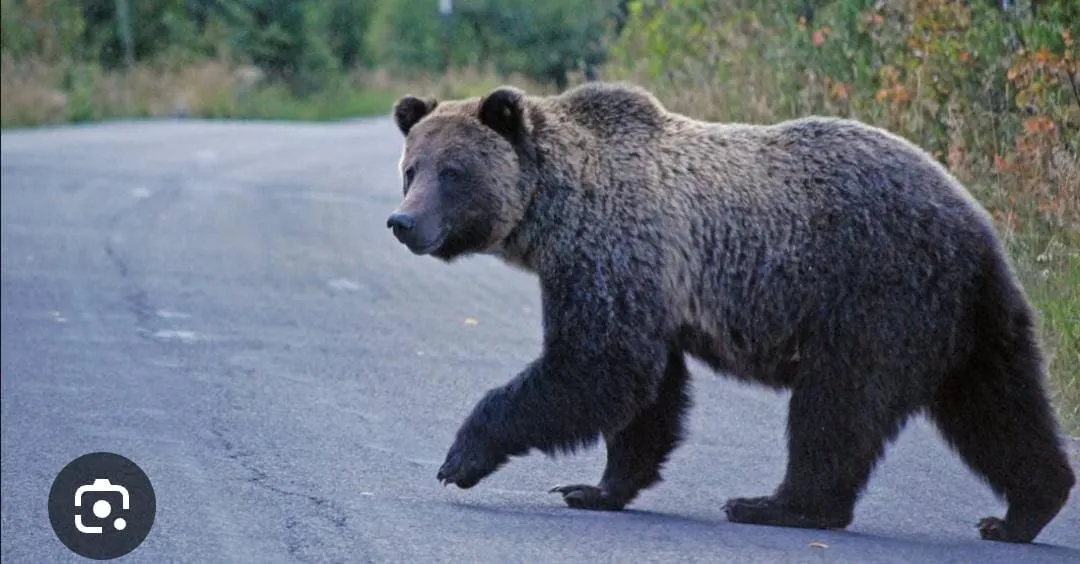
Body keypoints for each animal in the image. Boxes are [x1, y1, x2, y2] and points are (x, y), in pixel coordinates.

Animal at [384, 81, 1076, 543]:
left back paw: (777, 504)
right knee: (997, 405)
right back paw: (1022, 510)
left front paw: (462, 457)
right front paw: (597, 488)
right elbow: (647, 393)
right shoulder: (650, 286)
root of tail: (977, 223)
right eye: (411, 168)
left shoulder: (613, 249)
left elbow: (597, 365)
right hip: (968, 317)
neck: (555, 210)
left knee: (838, 406)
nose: (403, 222)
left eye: (453, 171)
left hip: (874, 294)